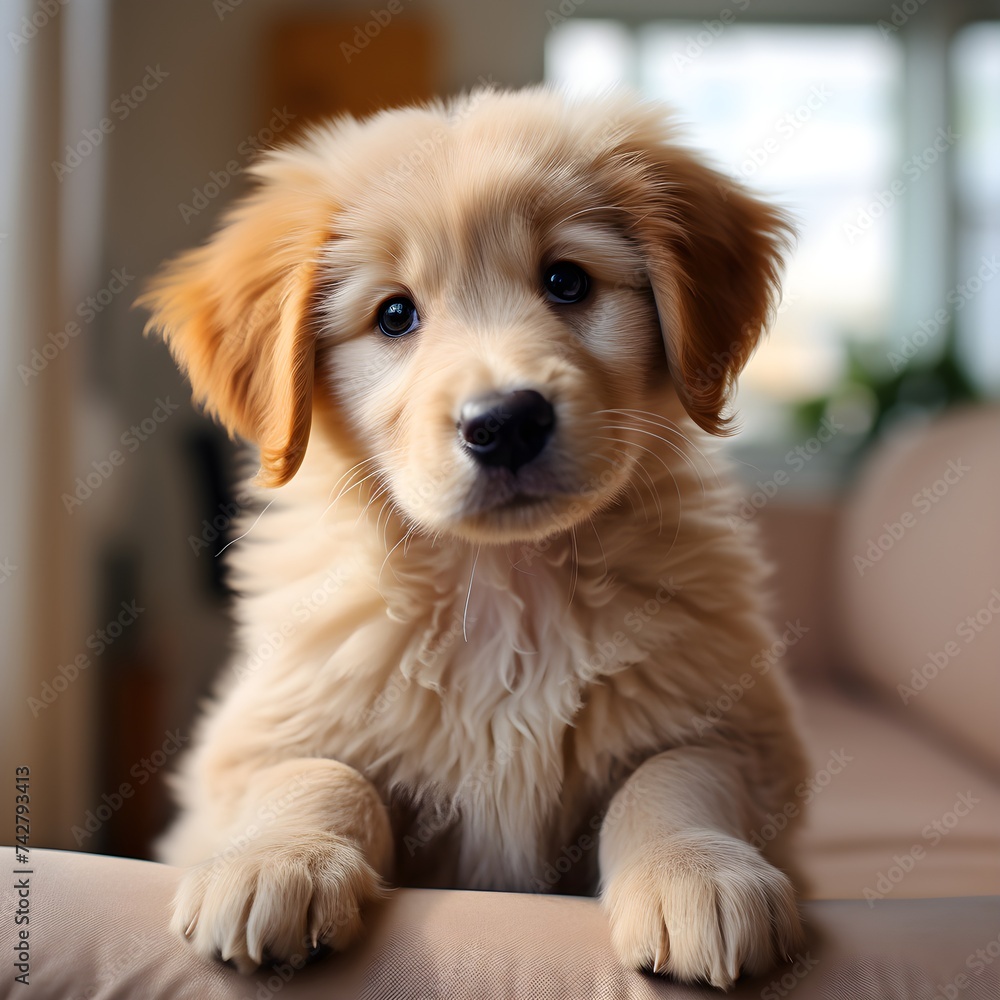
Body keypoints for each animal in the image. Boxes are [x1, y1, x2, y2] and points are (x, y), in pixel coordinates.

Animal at [141, 88, 808, 992]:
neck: (505, 584)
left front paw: (698, 873)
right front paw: (275, 862)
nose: (506, 422)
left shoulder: (740, 727)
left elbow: (673, 774)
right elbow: (317, 771)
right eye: (394, 315)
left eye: (566, 280)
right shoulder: (250, 740)